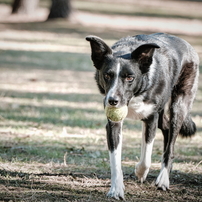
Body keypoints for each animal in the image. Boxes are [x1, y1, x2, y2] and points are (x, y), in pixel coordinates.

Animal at [85, 32, 199, 199]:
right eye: (107, 75)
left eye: (129, 77)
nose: (112, 101)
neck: (135, 96)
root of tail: (188, 45)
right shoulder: (114, 123)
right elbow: (115, 160)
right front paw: (116, 189)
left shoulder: (151, 118)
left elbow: (146, 157)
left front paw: (140, 171)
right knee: (166, 129)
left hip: (179, 106)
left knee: (170, 145)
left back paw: (163, 179)